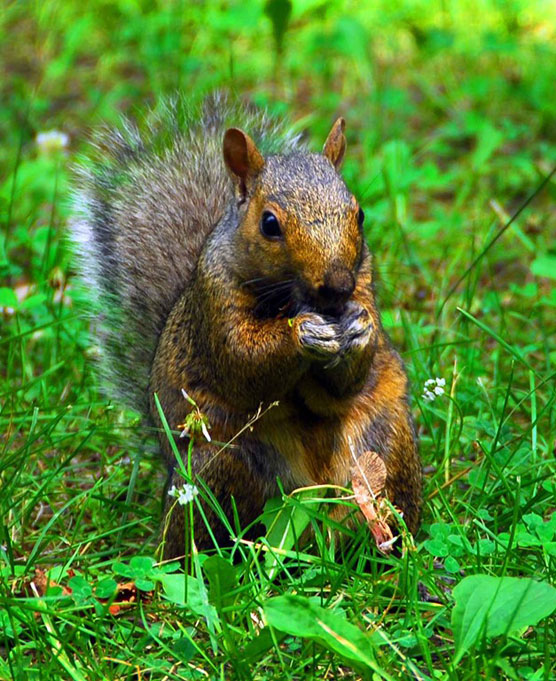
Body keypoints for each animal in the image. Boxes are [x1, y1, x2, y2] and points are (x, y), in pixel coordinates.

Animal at [73, 91, 422, 556]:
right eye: (269, 223)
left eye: (360, 214)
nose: (337, 286)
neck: (293, 298)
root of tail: (311, 499)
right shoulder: (215, 301)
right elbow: (244, 363)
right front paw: (303, 333)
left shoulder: (363, 281)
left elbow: (345, 382)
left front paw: (360, 329)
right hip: (219, 468)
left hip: (384, 445)